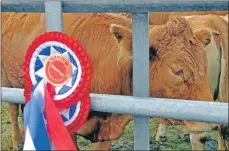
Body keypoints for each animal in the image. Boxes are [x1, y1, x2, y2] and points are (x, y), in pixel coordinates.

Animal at [1, 12, 216, 150]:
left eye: (205, 65)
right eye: (177, 71)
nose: (211, 124)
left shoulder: (104, 129)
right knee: (12, 108)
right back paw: (18, 141)